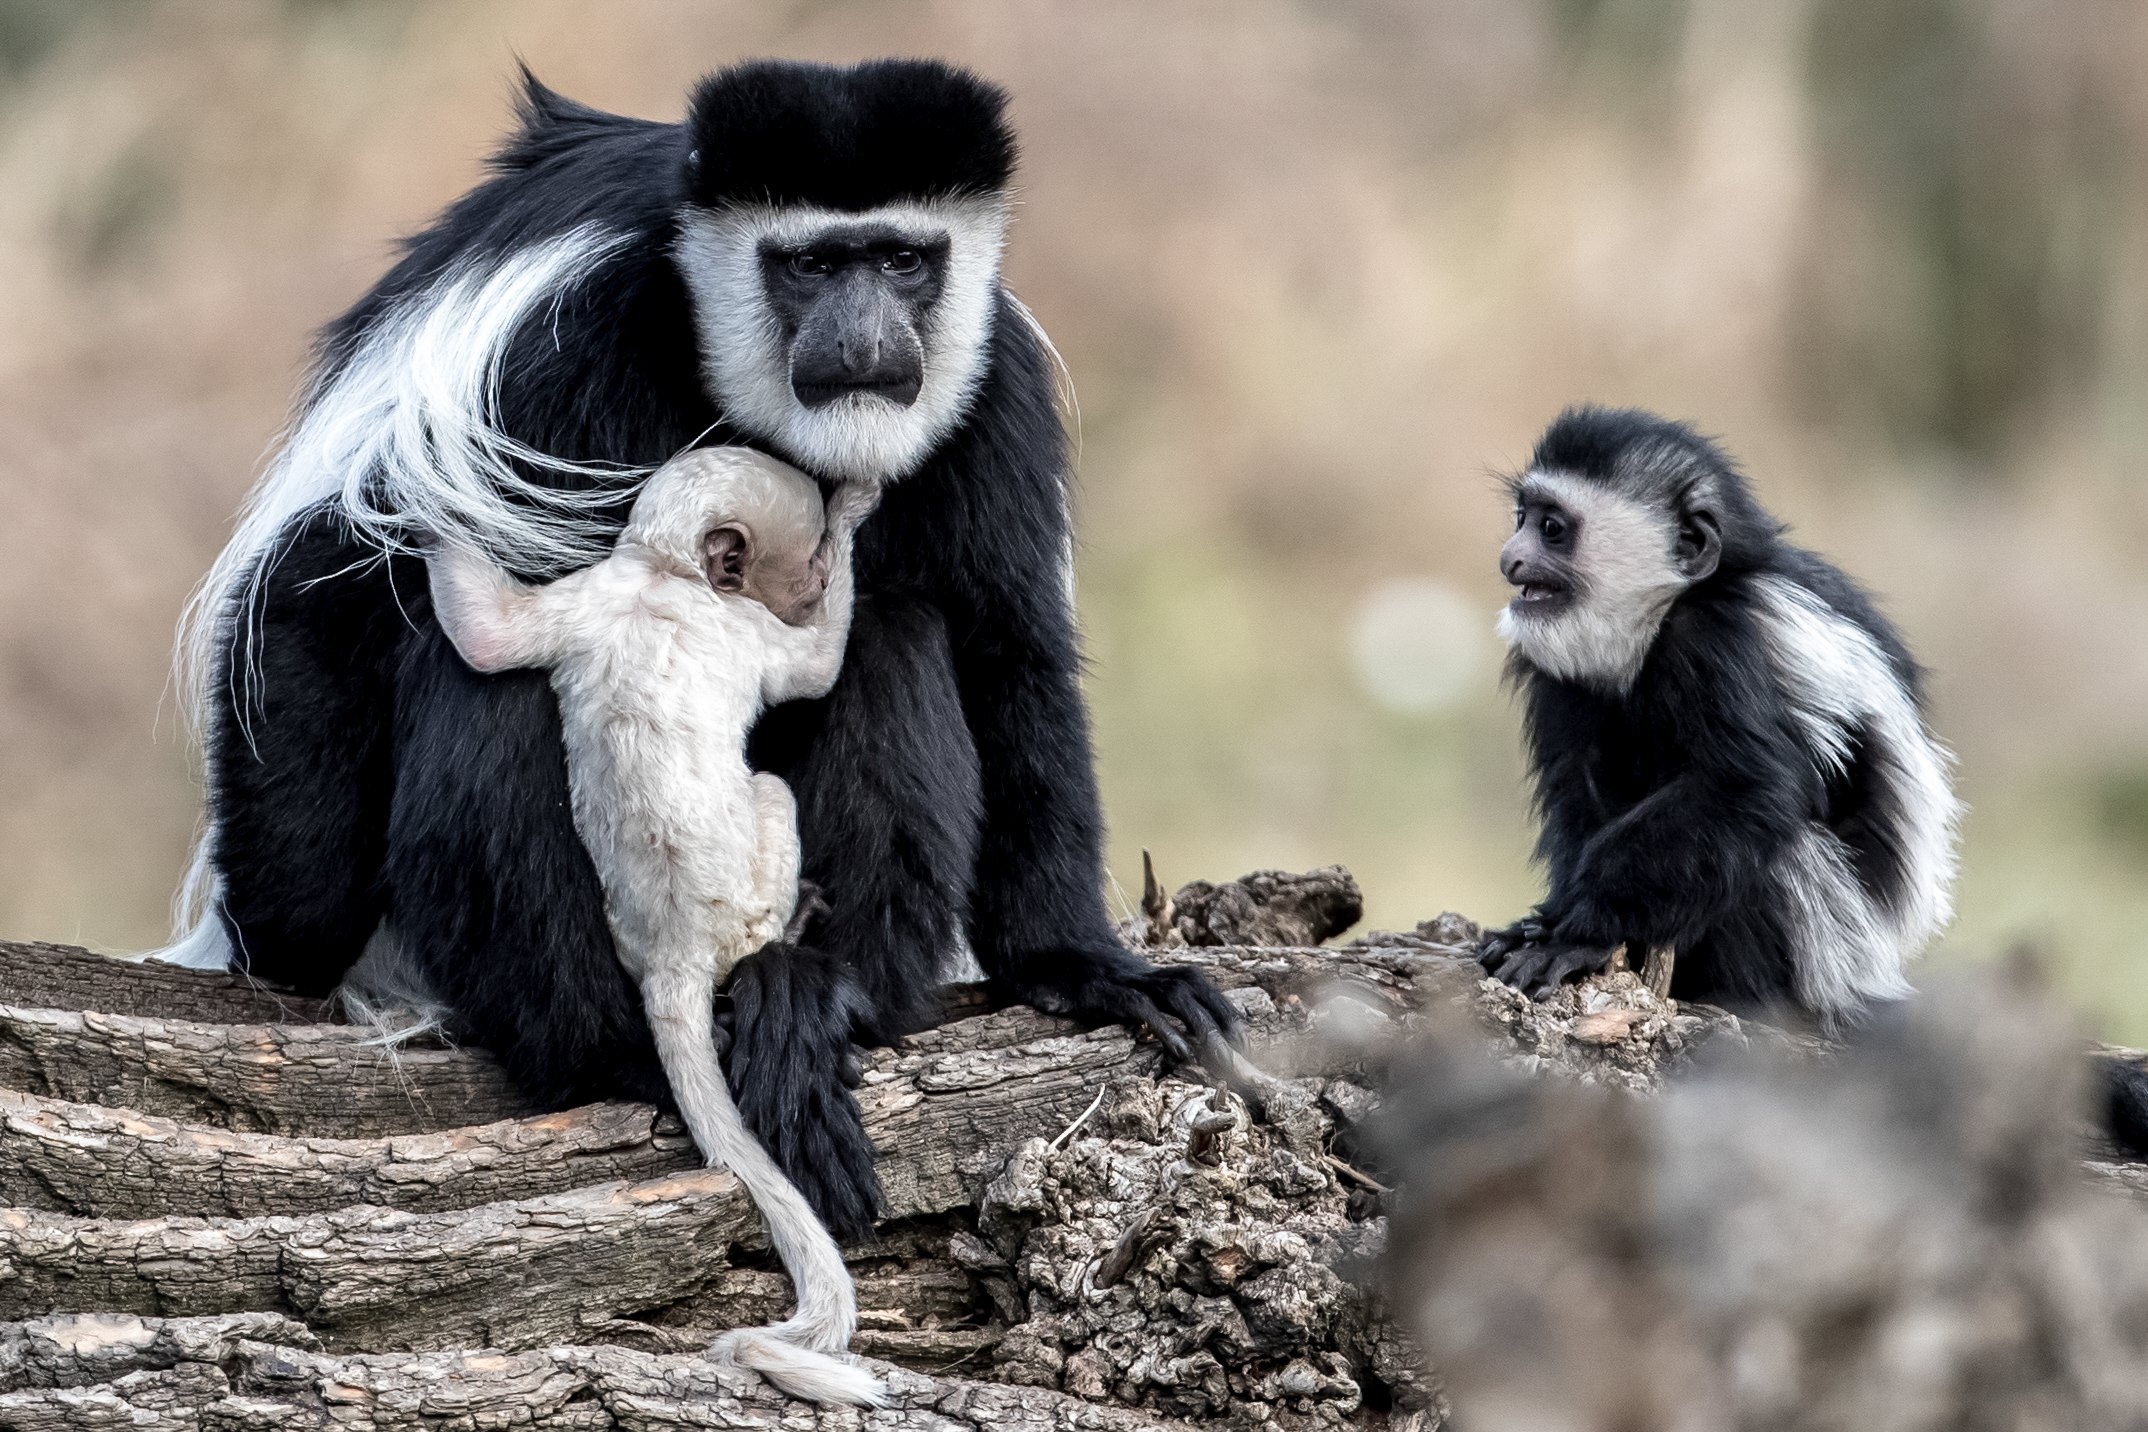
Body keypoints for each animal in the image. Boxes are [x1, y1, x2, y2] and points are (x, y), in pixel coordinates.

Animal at [163, 58, 1245, 1245]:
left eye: (901, 260)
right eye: (811, 265)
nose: (863, 339)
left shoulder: (990, 385)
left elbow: (1011, 649)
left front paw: (1083, 967)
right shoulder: (551, 342)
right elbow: (322, 581)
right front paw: (283, 949)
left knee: (898, 637)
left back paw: (816, 999)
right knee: (467, 674)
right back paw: (616, 1048)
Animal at [427, 450, 880, 1408]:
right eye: (806, 560)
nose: (813, 579)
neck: (661, 574)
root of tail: (678, 958)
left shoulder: (585, 597)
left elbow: (488, 636)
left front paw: (421, 517)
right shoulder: (741, 626)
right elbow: (815, 668)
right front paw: (859, 509)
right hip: (753, 872)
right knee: (772, 797)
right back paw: (798, 918)